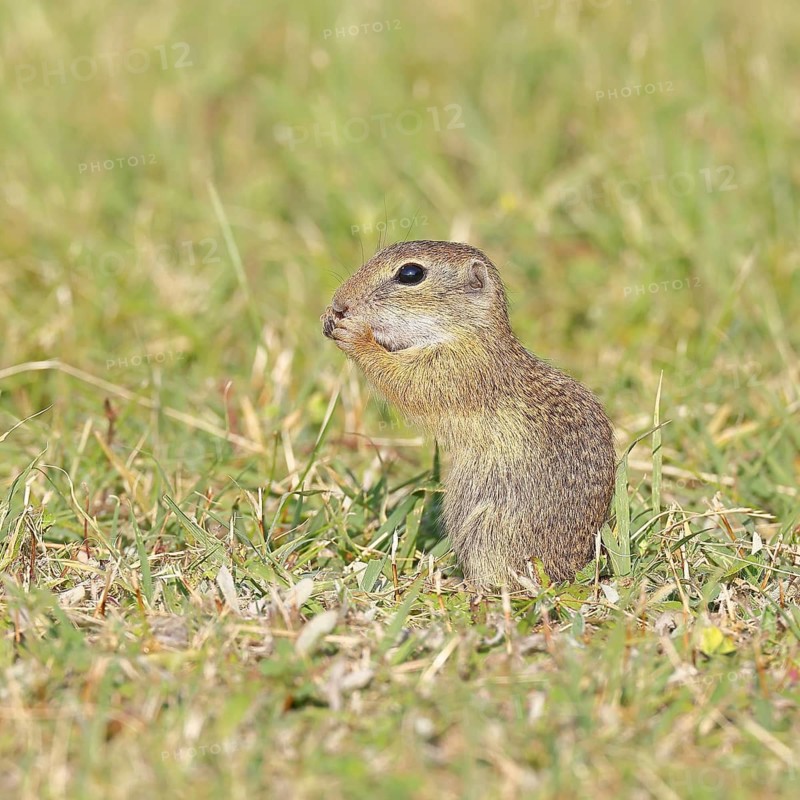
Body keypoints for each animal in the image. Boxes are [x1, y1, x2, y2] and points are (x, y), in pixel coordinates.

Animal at [321, 240, 615, 588]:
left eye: (410, 273)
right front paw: (329, 319)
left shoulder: (453, 369)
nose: (340, 302)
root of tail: (569, 574)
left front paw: (353, 333)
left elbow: (403, 381)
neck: (468, 333)